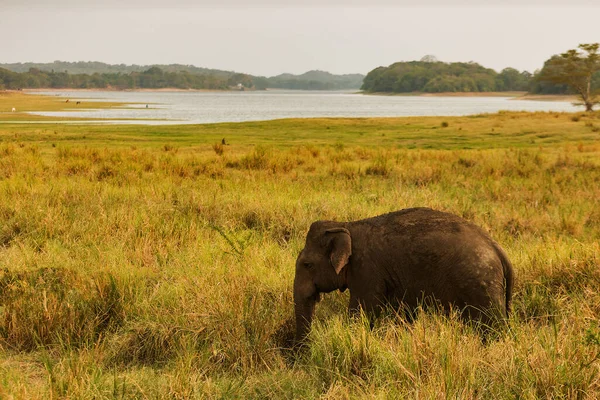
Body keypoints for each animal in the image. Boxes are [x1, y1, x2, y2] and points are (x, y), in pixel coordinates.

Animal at [292, 208, 512, 342]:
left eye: (307, 264)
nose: (302, 353)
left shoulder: (367, 270)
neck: (346, 225)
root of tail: (498, 248)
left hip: (481, 285)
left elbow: (362, 311)